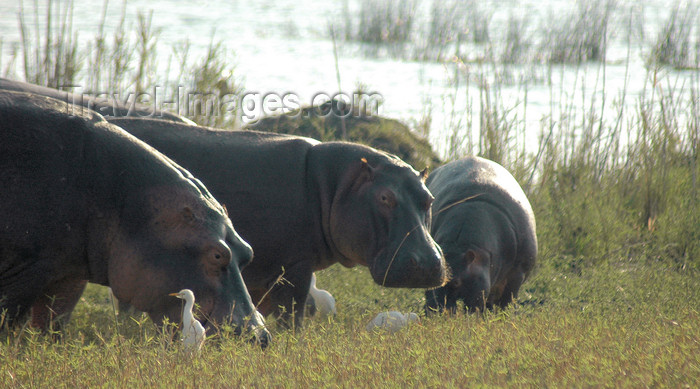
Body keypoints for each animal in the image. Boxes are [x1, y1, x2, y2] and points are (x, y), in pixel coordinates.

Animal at [0, 90, 268, 346]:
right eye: (217, 255)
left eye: (249, 252)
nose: (260, 336)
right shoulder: (24, 271)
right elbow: (7, 322)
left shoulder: (67, 273)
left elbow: (52, 325)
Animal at [426, 156, 536, 310]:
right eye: (434, 280)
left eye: (456, 282)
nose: (433, 310)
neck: (459, 245)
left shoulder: (518, 272)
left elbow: (507, 298)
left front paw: (504, 314)